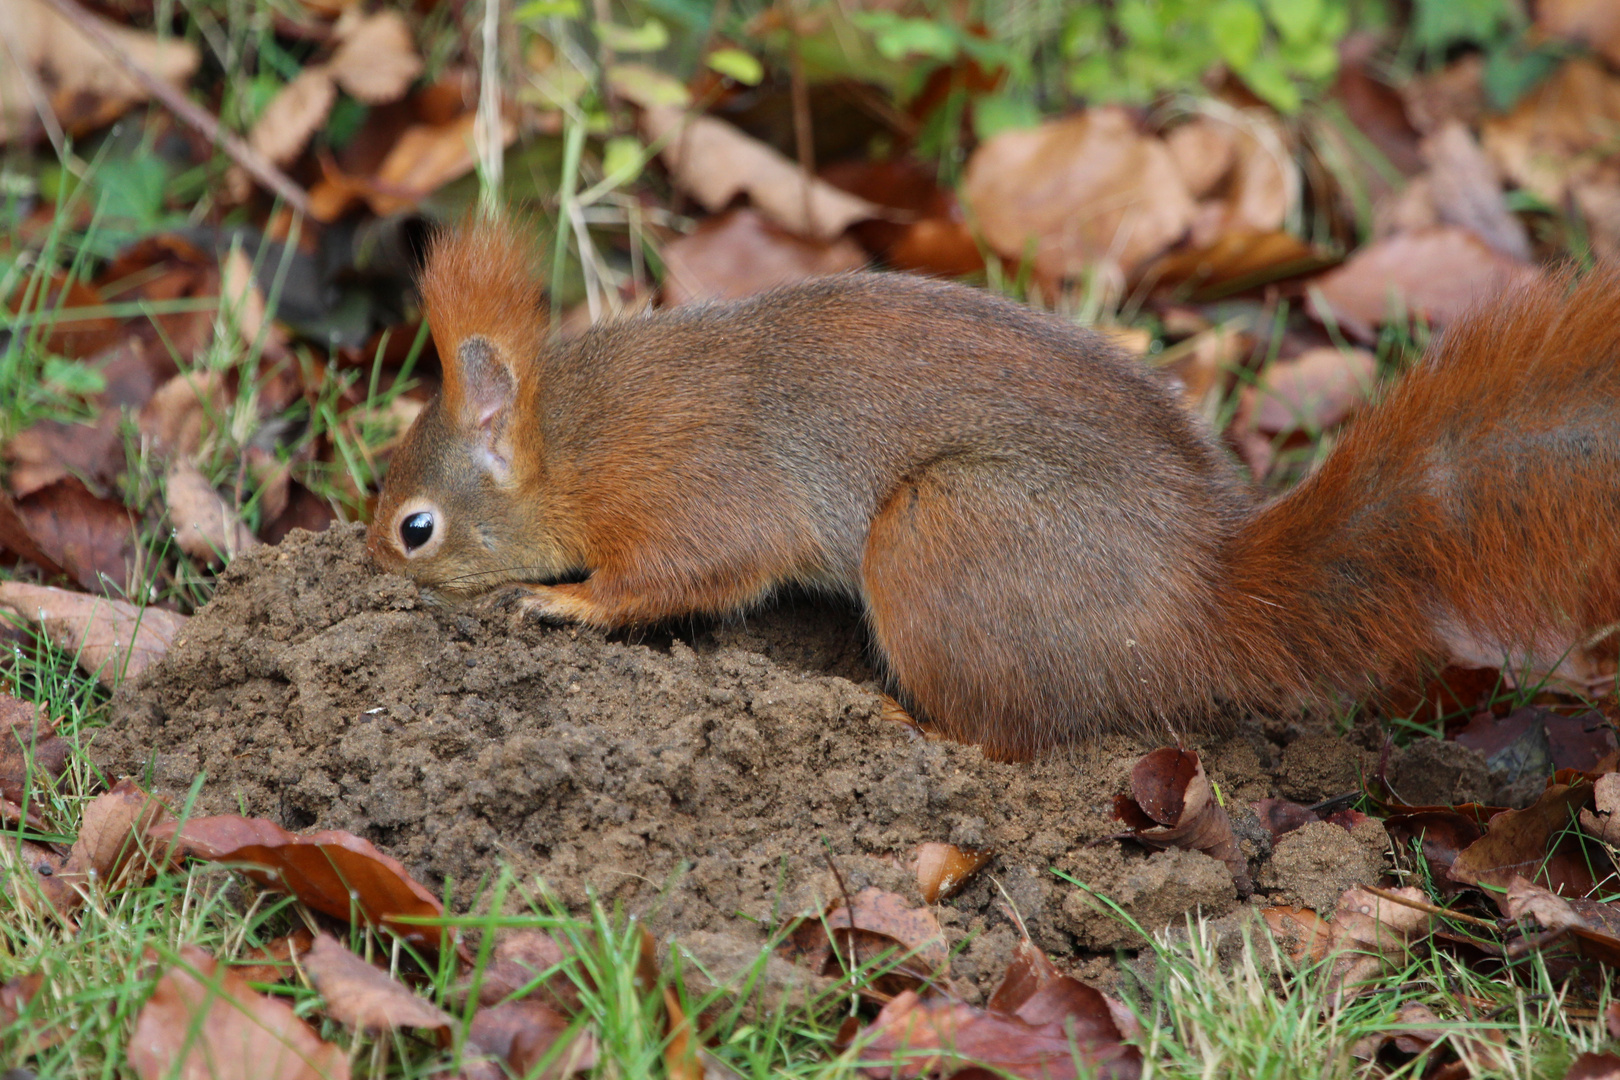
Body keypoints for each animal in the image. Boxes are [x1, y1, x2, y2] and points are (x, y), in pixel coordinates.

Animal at [364, 220, 1620, 761]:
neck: (570, 437)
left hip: (947, 537)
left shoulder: (691, 488)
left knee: (1000, 733)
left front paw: (565, 602)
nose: (365, 568)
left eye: (415, 528)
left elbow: (687, 573)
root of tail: (1201, 610)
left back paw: (892, 720)